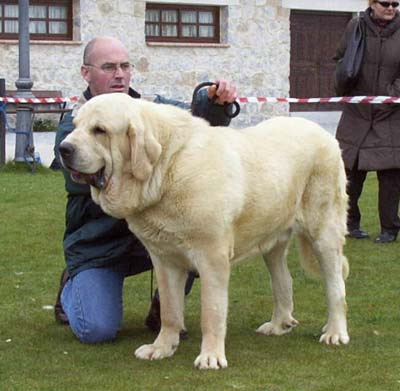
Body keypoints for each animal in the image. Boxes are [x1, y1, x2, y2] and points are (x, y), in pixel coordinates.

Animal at [59, 93, 350, 370]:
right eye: (75, 126)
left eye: (100, 130)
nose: (63, 148)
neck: (167, 166)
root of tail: (323, 133)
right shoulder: (164, 259)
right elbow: (170, 311)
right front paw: (162, 348)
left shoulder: (212, 258)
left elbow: (212, 312)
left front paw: (211, 357)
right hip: (272, 238)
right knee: (283, 281)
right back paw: (279, 324)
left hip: (324, 233)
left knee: (335, 285)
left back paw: (335, 331)